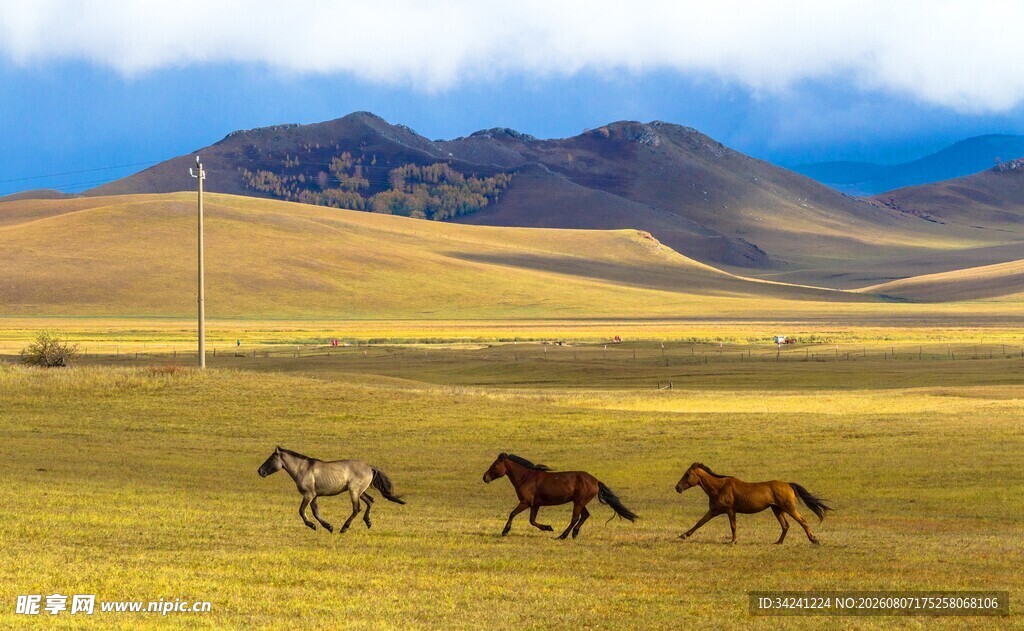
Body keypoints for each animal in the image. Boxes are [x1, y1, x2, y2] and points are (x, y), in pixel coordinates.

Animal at [258, 446, 405, 533]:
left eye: (271, 458)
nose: (260, 471)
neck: (302, 469)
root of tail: (370, 467)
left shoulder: (308, 495)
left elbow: (301, 511)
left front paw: (312, 525)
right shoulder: (314, 496)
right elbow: (316, 512)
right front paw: (328, 526)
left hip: (354, 491)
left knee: (357, 508)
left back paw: (344, 528)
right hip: (360, 492)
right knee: (370, 501)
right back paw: (368, 522)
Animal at [482, 452, 638, 539]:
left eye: (494, 466)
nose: (485, 478)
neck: (526, 478)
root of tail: (596, 481)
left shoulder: (526, 502)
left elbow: (512, 514)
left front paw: (505, 531)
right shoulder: (535, 504)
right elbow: (532, 521)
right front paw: (548, 527)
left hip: (579, 502)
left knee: (575, 518)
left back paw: (562, 536)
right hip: (579, 502)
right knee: (584, 516)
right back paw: (574, 533)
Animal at [675, 462, 832, 544]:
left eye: (688, 474)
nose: (677, 487)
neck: (719, 487)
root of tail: (788, 484)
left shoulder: (730, 510)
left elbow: (733, 526)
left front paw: (733, 541)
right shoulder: (714, 511)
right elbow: (699, 522)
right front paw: (684, 535)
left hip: (789, 508)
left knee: (802, 521)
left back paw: (813, 539)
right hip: (777, 509)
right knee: (786, 525)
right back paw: (778, 542)